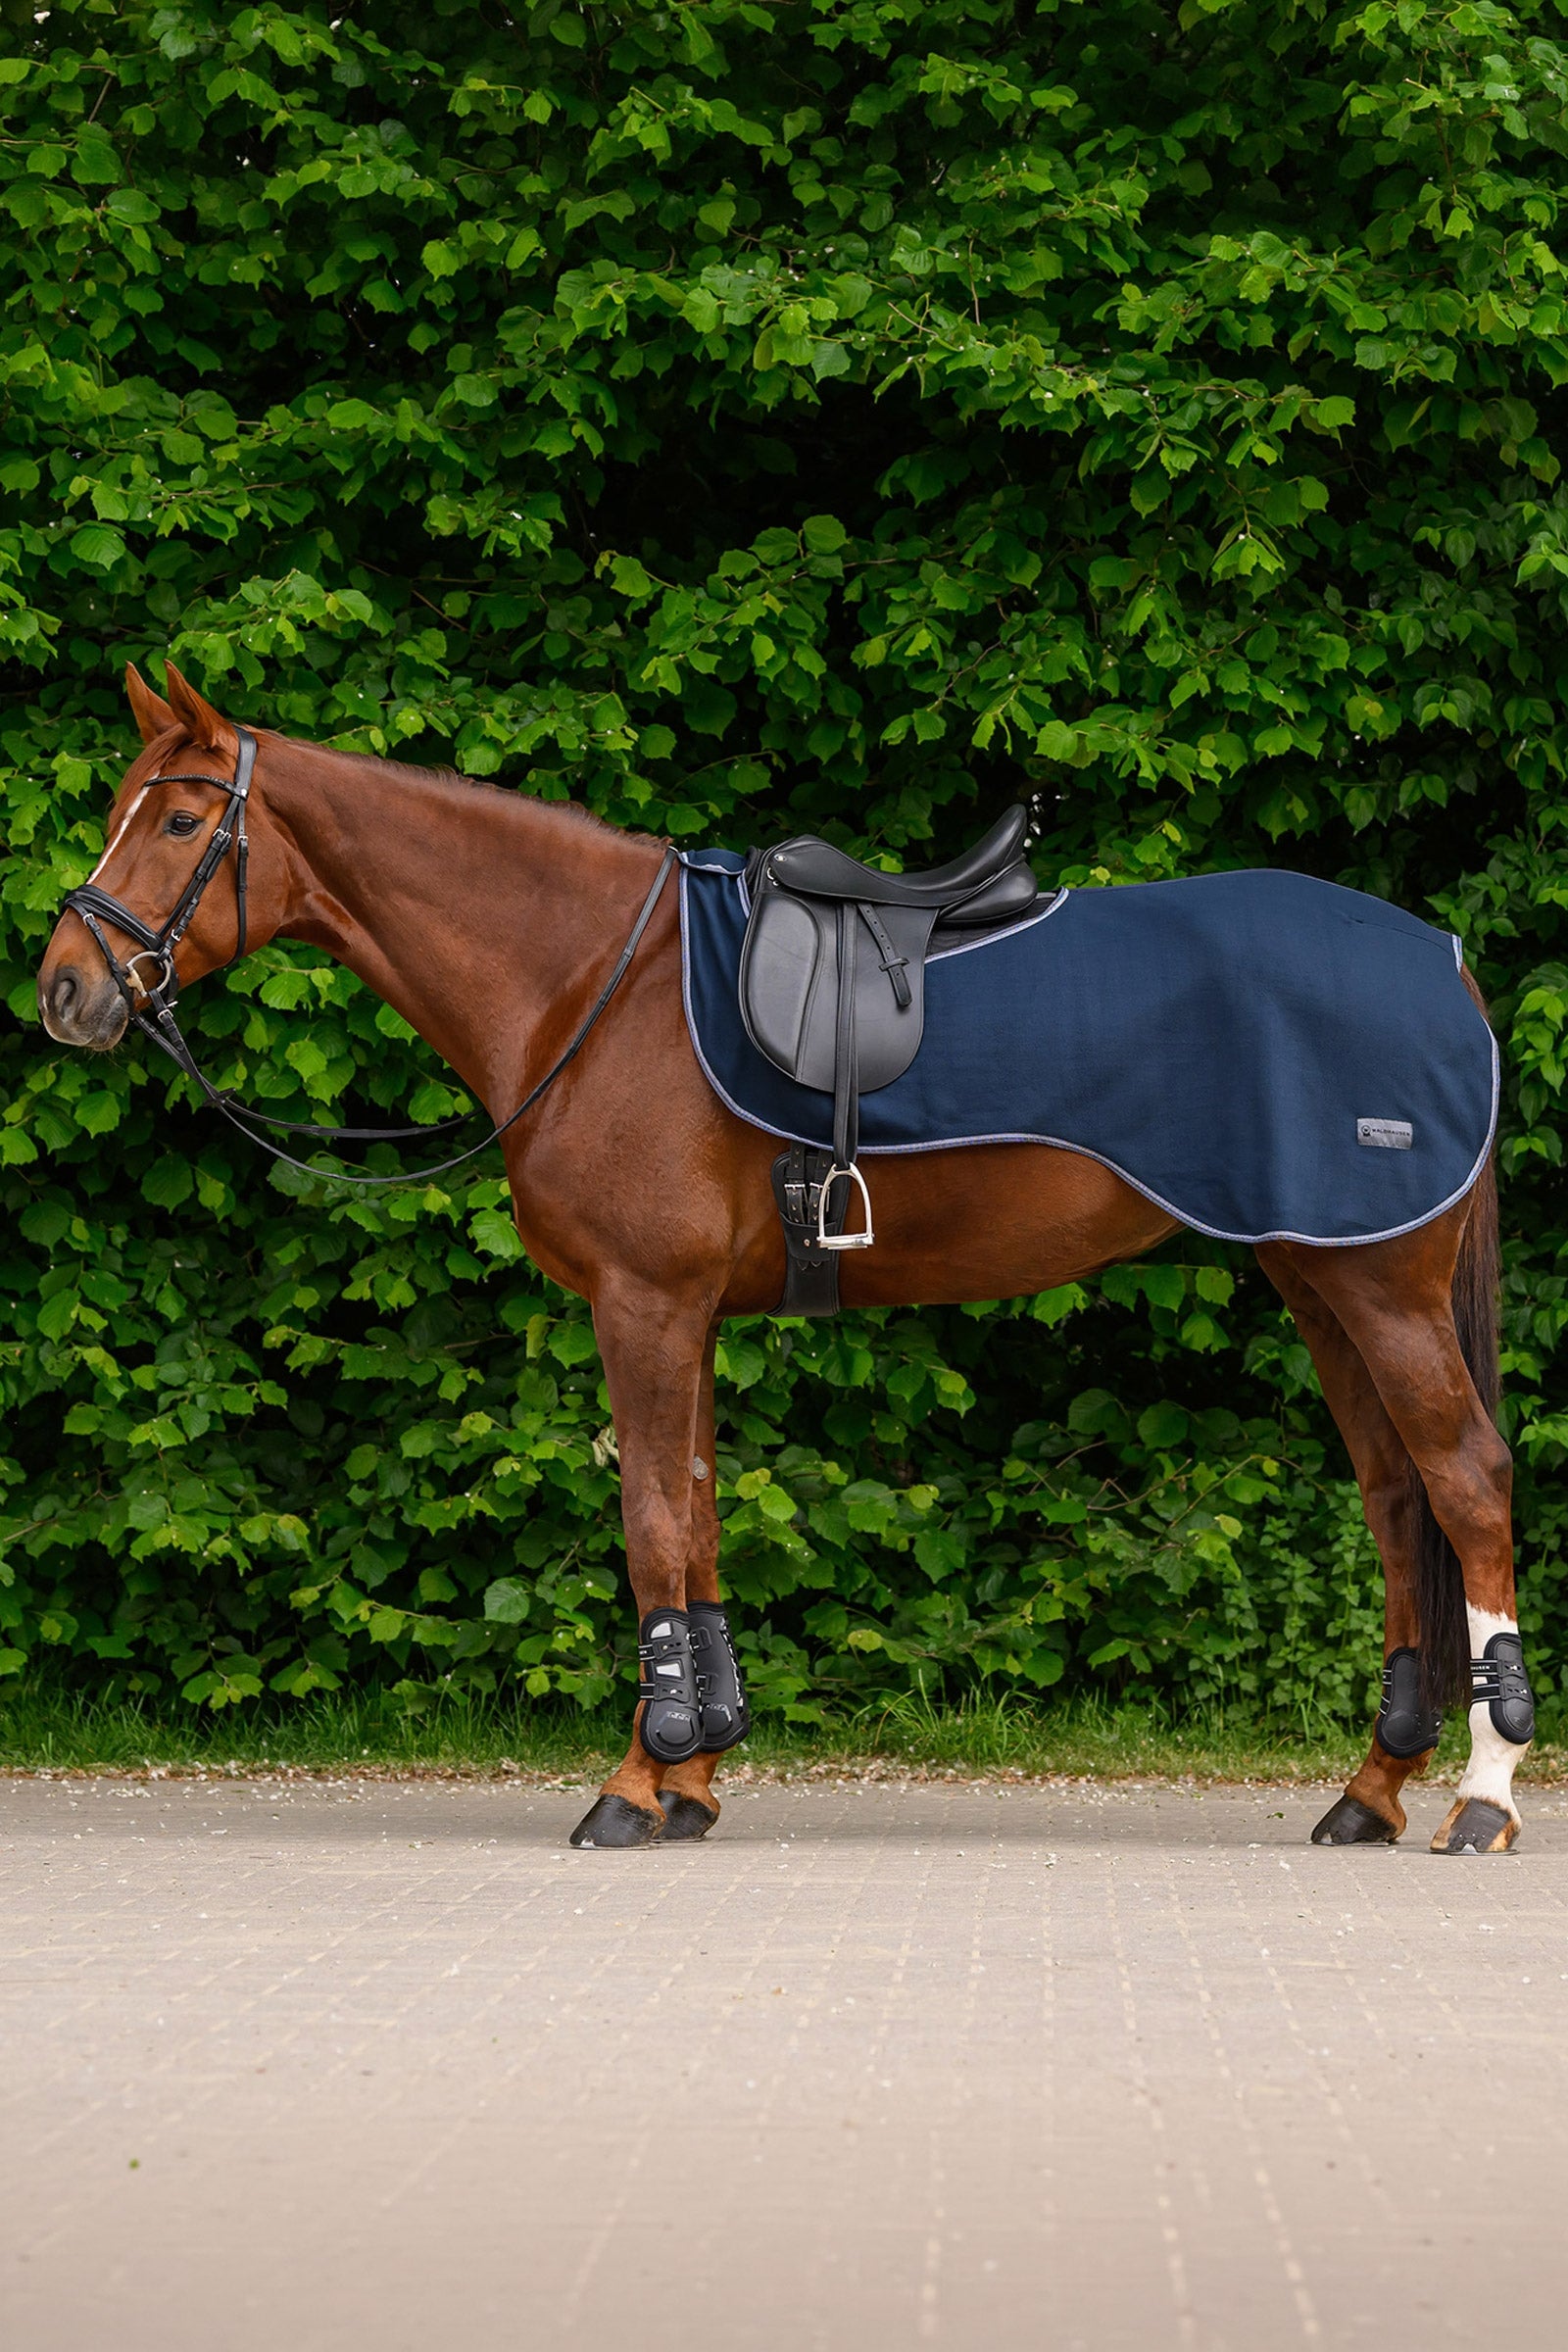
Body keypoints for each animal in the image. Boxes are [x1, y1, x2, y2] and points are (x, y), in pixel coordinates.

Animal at [35, 662, 1531, 1854]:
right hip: (1321, 1276)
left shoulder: (643, 1303)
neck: (591, 984)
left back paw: (1483, 1798)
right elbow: (693, 1518)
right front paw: (694, 1774)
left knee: (1465, 1483)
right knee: (1397, 1501)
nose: (66, 988)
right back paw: (1371, 1791)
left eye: (179, 819)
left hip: (1379, 1286)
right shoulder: (683, 1310)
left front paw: (635, 1787)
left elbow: (650, 1524)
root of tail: (1438, 958)